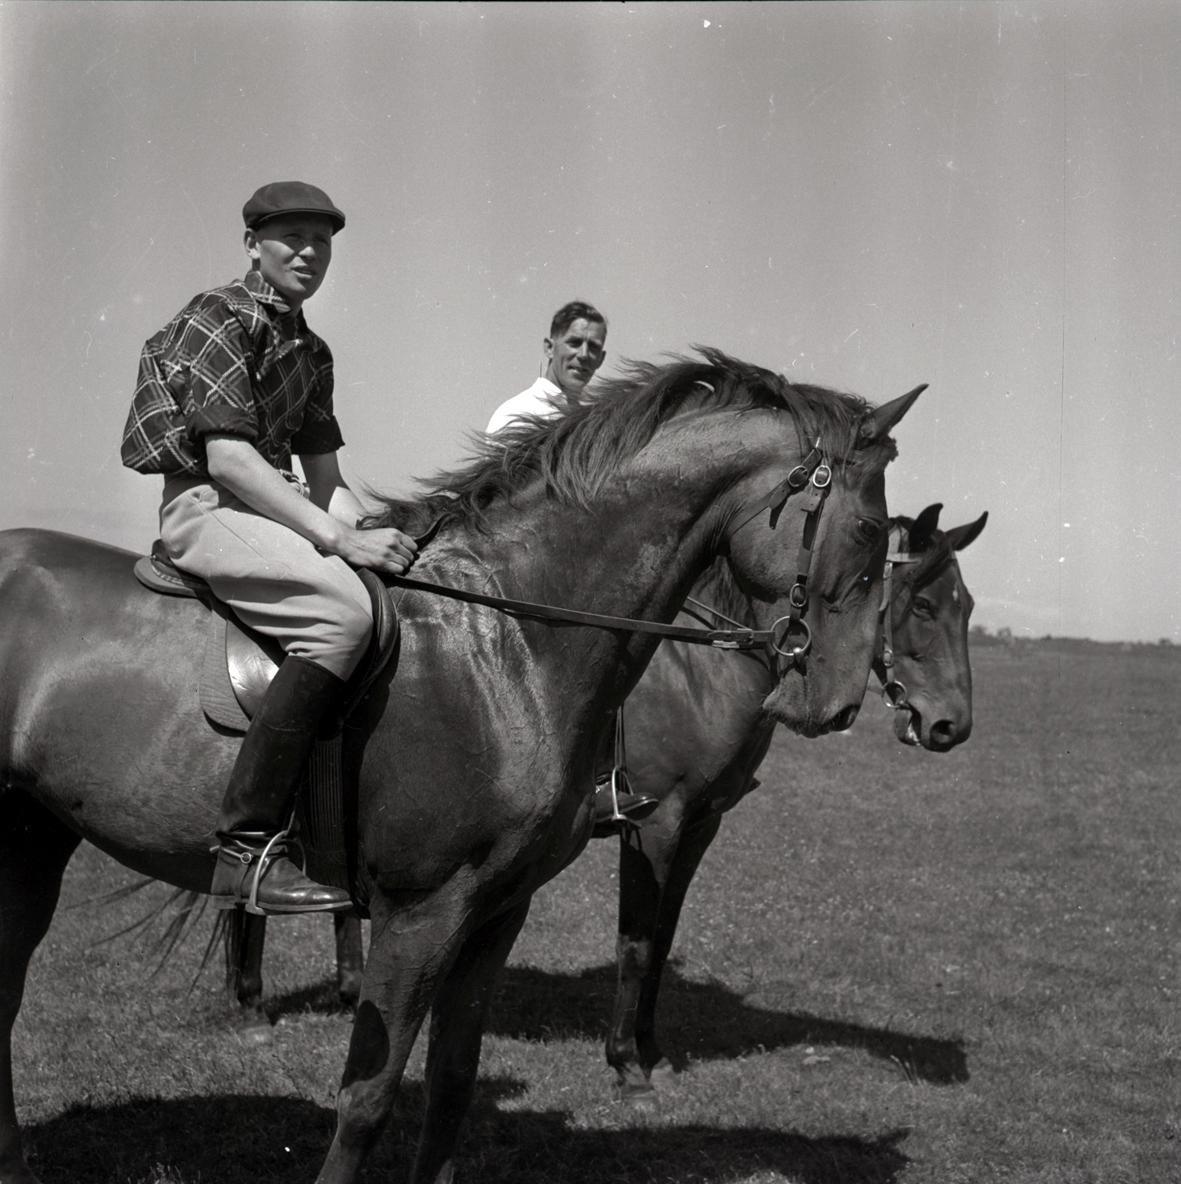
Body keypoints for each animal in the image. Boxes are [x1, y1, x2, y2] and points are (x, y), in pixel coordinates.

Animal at [0, 352, 919, 1184]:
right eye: (870, 533)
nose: (838, 702)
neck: (508, 643)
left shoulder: (495, 911)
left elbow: (451, 1086)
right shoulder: (421, 914)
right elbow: (367, 1099)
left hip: (34, 840)